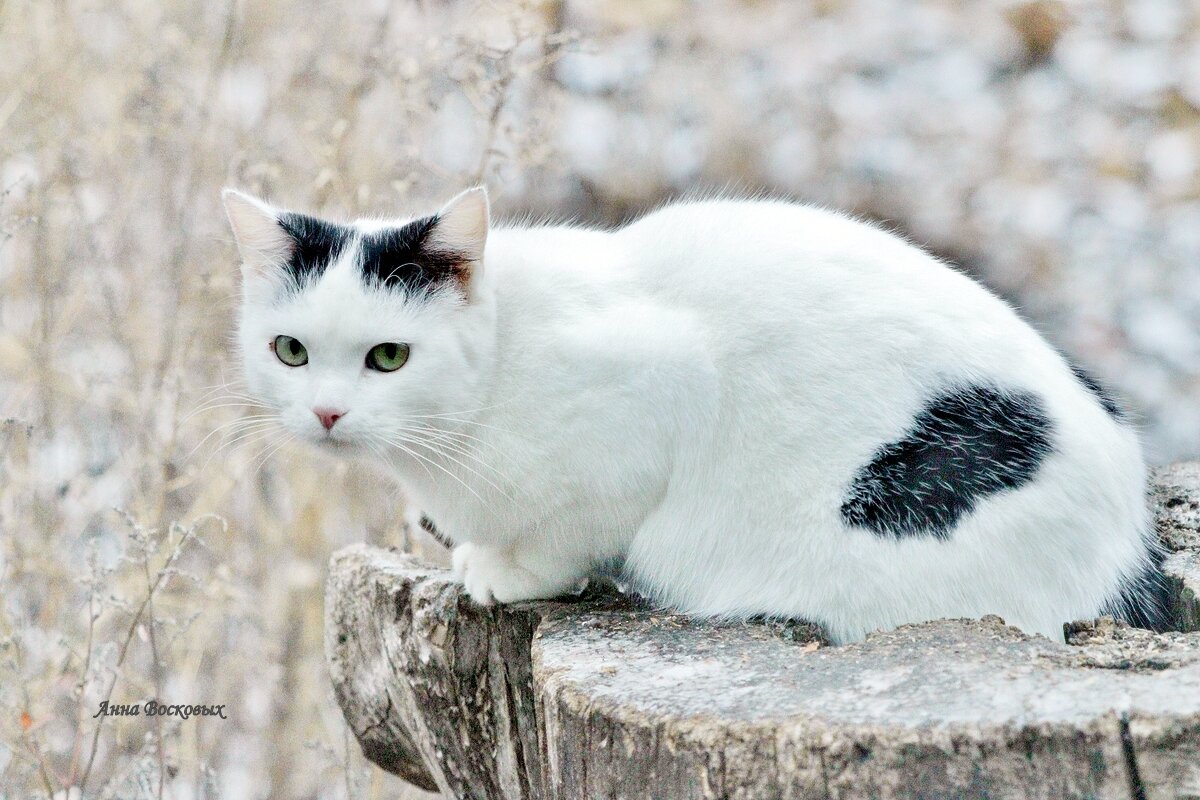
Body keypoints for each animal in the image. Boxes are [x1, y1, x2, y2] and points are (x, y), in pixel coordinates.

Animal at [220, 184, 1166, 642]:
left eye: (389, 357)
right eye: (290, 351)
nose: (327, 414)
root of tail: (1131, 551)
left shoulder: (658, 393)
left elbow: (572, 535)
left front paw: (507, 571)